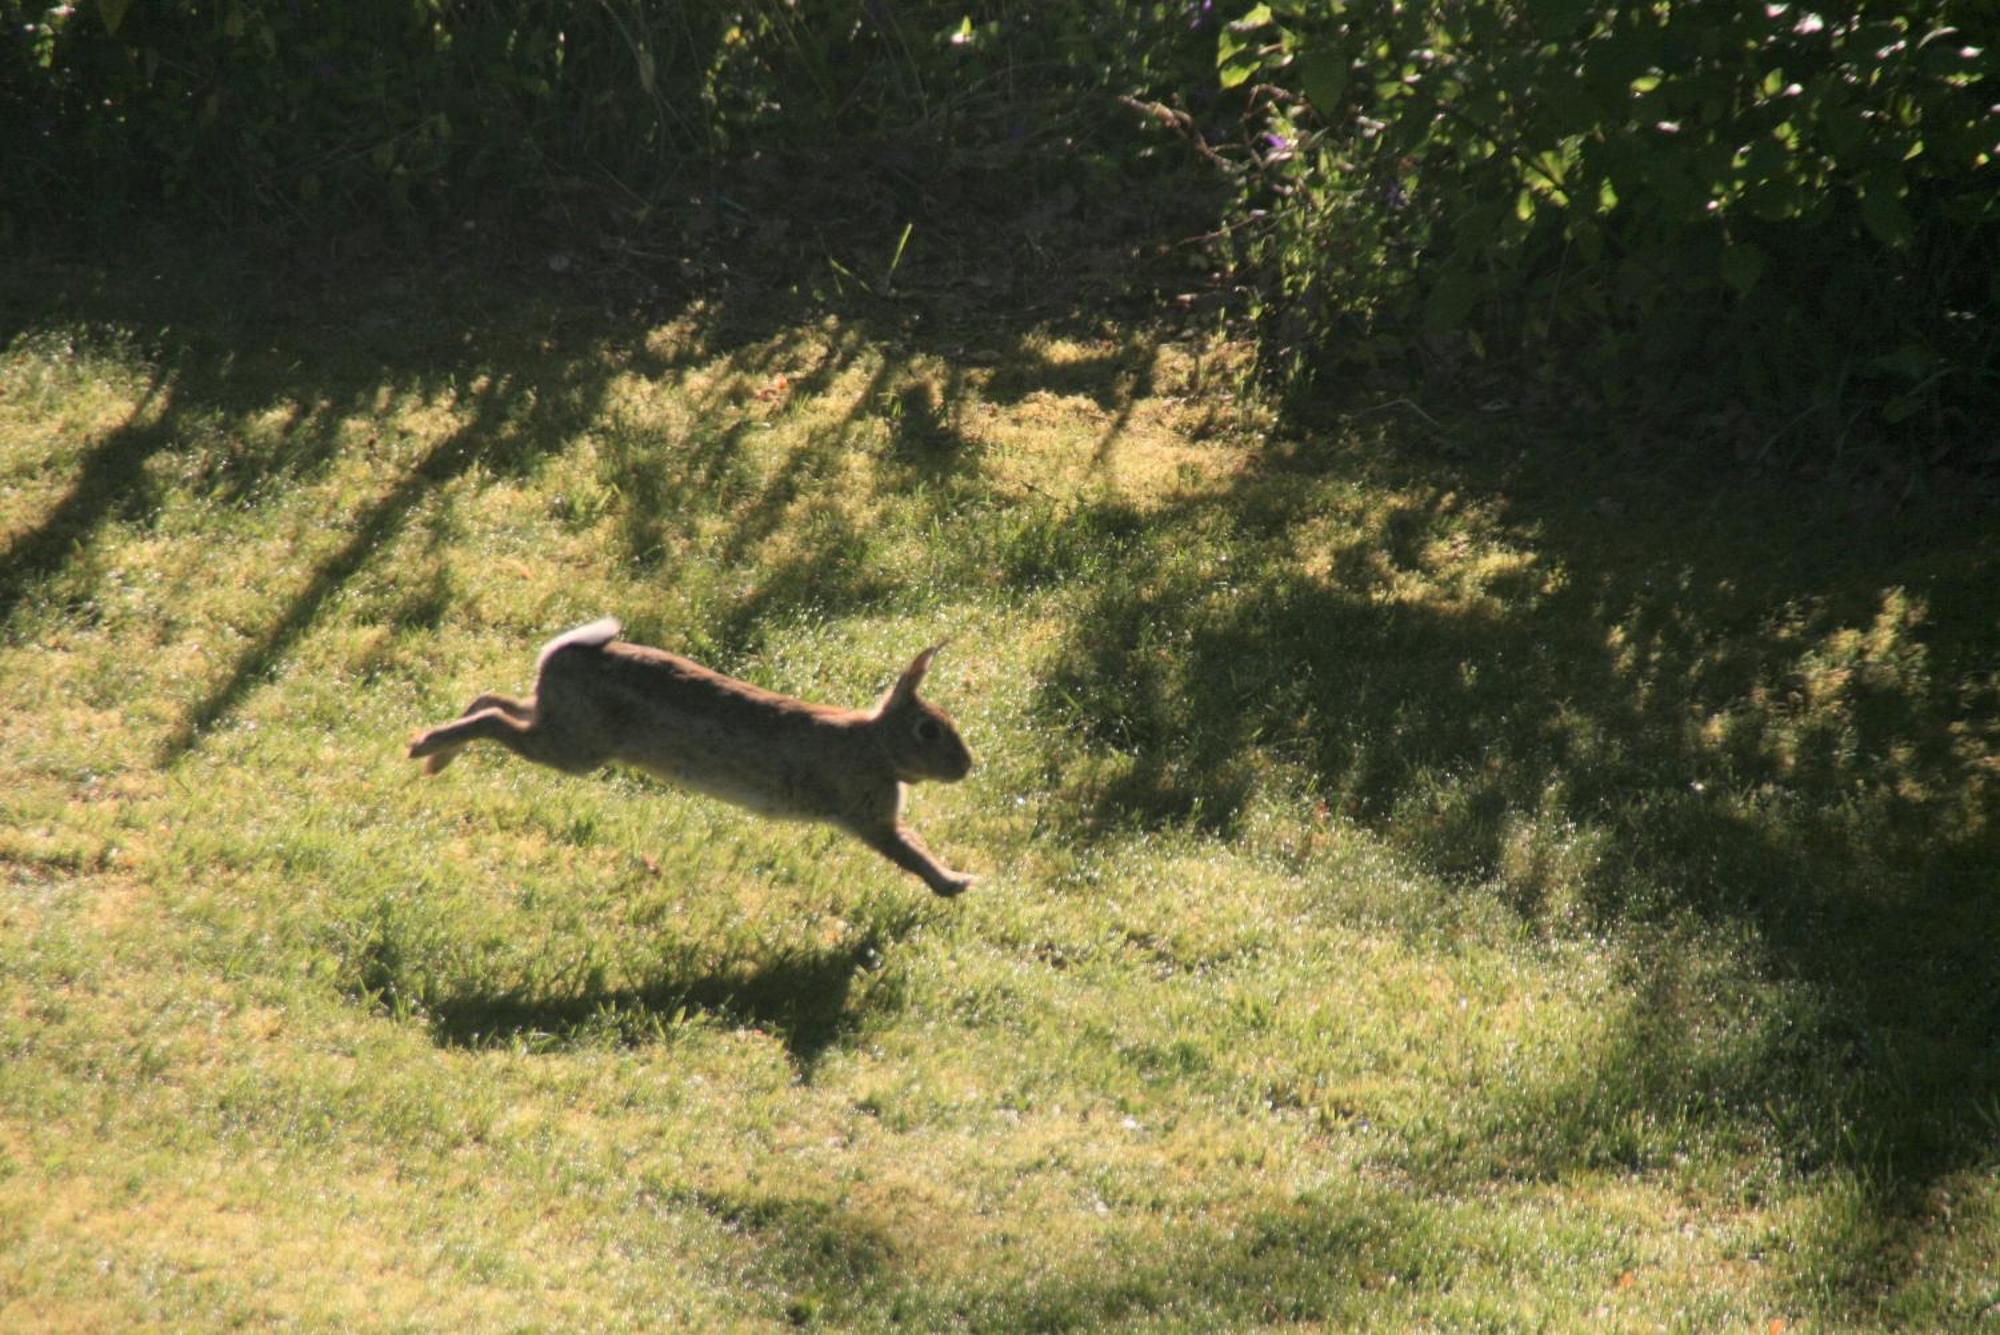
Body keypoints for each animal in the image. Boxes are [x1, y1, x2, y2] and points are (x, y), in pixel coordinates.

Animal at [406, 619, 976, 895]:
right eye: (929, 731)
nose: (967, 768)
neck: (877, 742)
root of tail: (562, 654)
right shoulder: (871, 818)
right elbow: (911, 852)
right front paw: (955, 884)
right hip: (572, 747)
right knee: (494, 721)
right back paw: (423, 748)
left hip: (556, 723)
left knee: (493, 702)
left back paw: (436, 759)